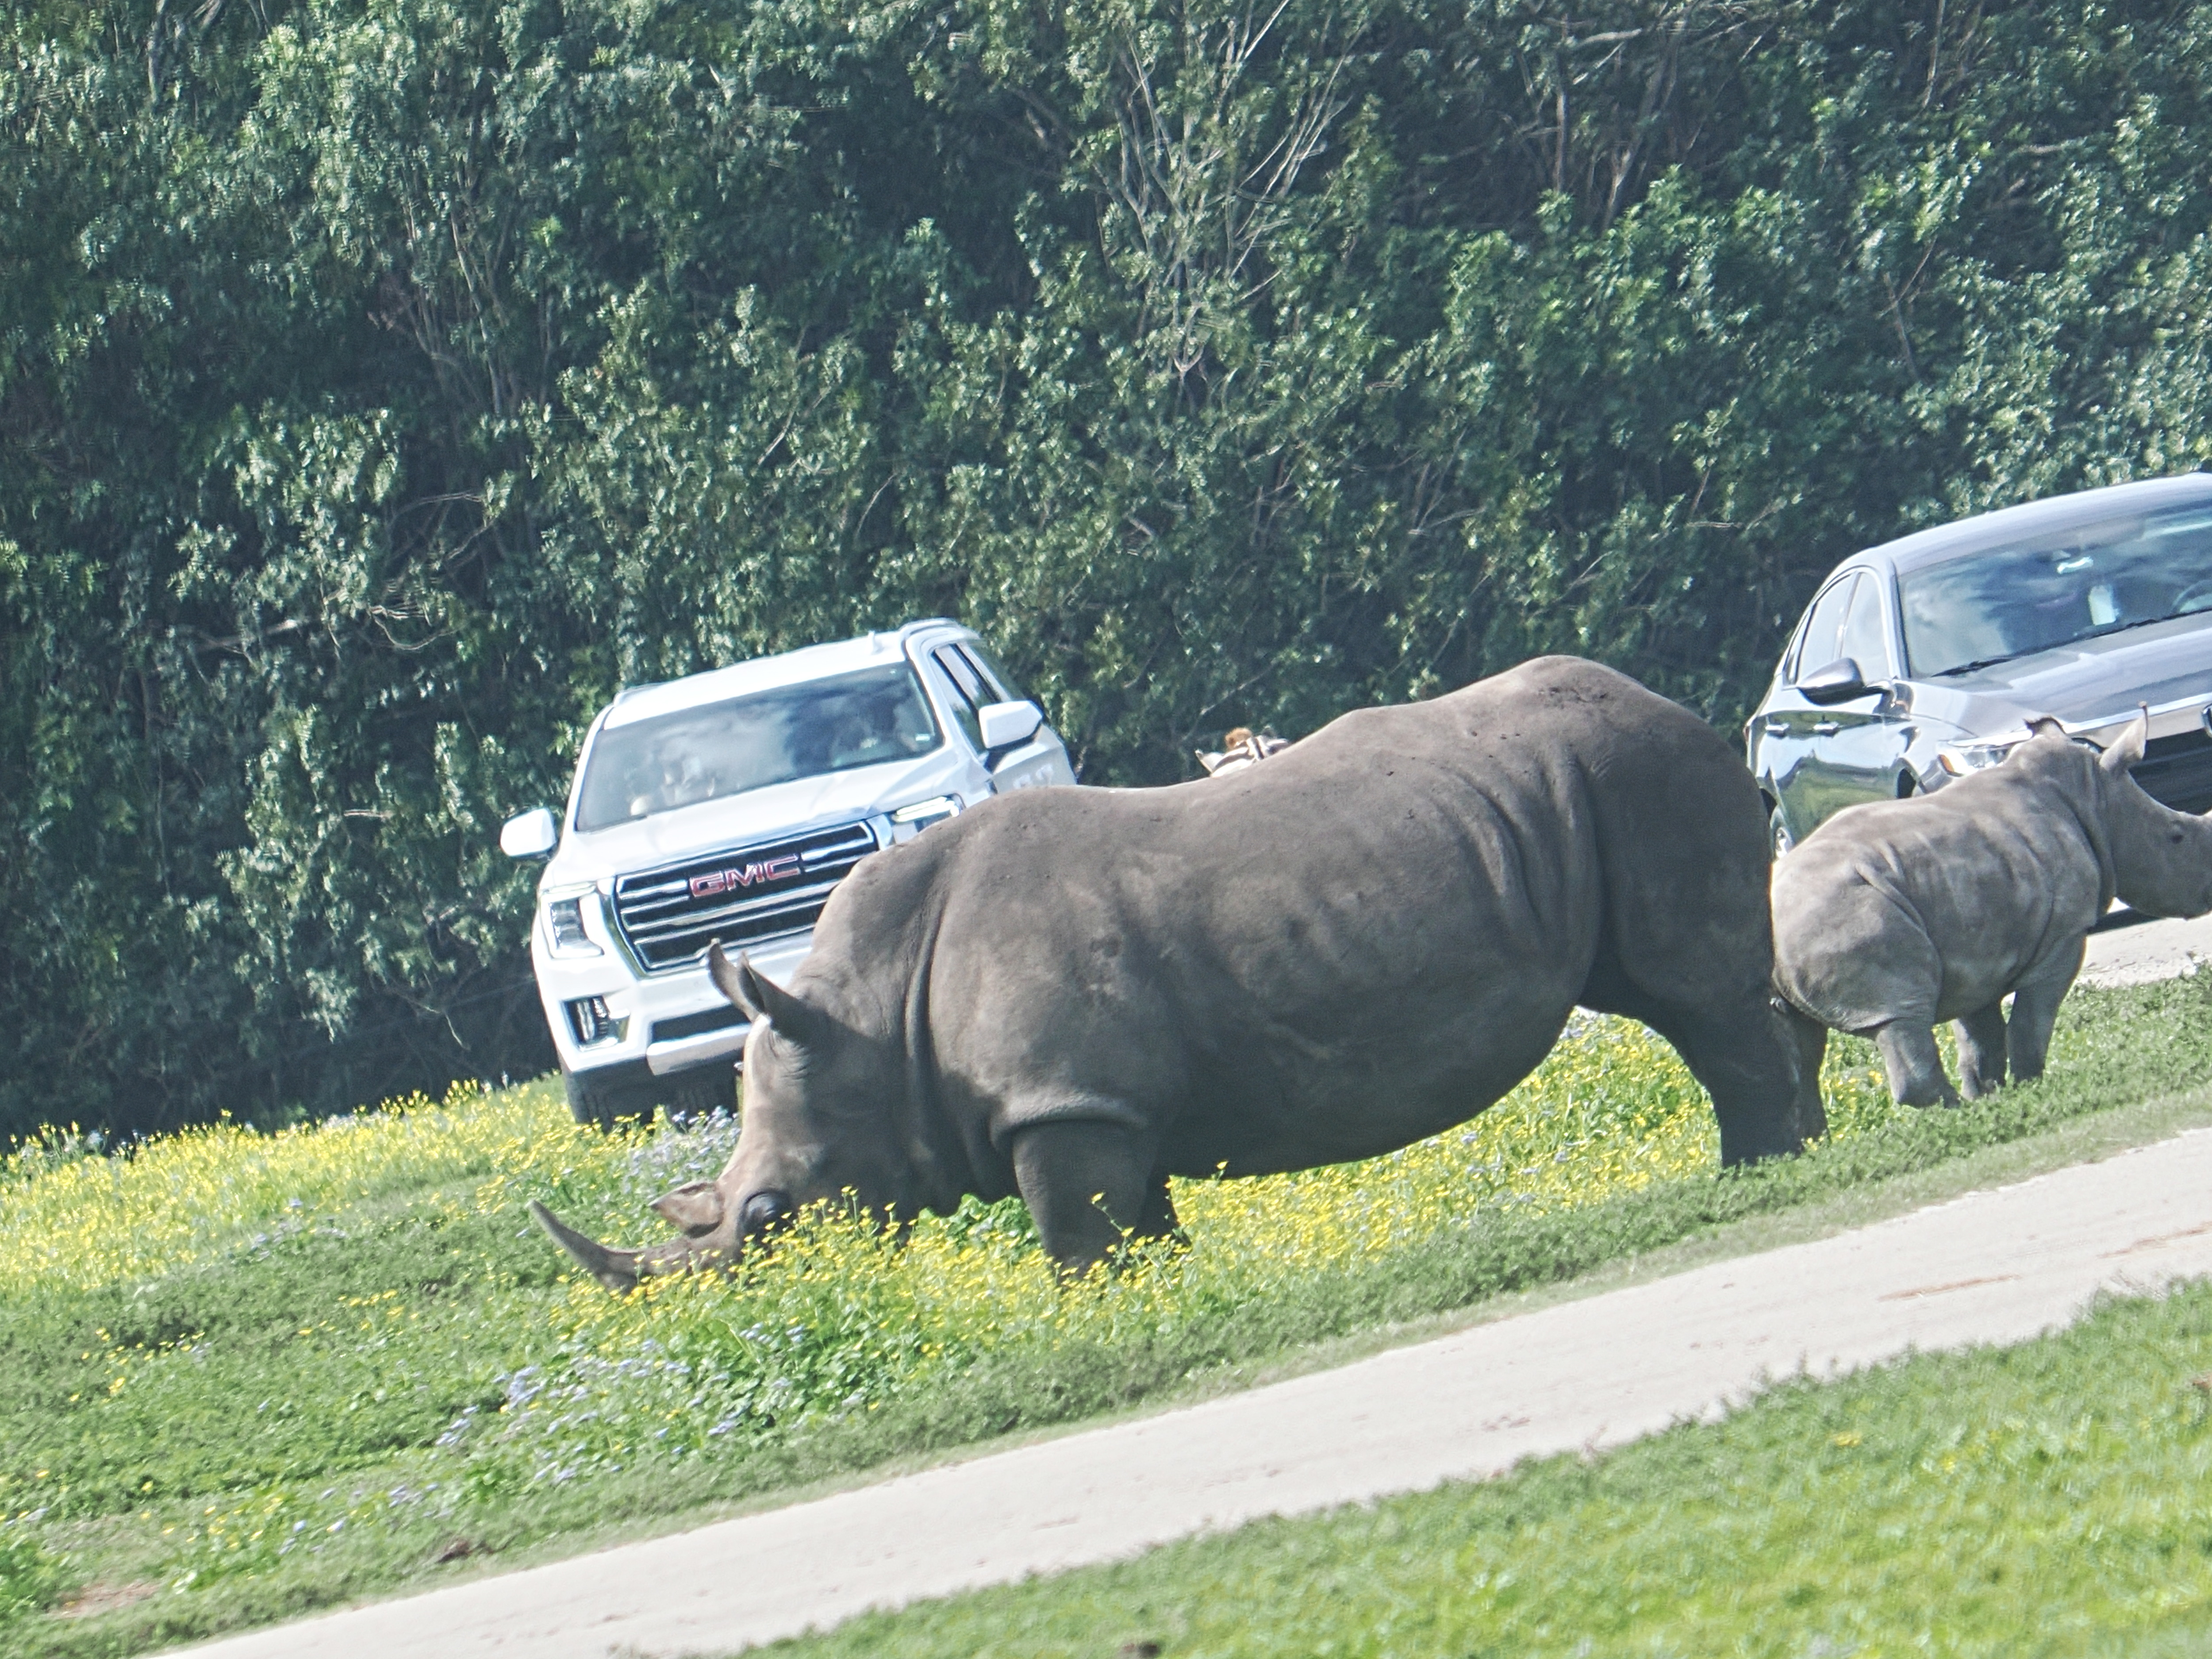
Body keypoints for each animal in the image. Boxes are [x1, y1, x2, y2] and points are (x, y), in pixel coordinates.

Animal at [531, 657, 1808, 1284]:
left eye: (768, 1211)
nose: (765, 1298)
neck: (865, 1016)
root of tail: (1685, 703)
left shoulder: (1063, 1104)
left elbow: (1077, 1245)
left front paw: (1096, 1319)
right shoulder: (1103, 1104)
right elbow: (1141, 1231)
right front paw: (1164, 1305)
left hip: (1635, 770)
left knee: (1695, 1001)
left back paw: (1759, 1171)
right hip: (1581, 785)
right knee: (1681, 997)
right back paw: (1791, 1154)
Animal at [1770, 710, 2212, 1115]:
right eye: (2177, 837)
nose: (2208, 895)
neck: (2098, 801)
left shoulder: (1973, 950)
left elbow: (1980, 1038)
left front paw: (1989, 1097)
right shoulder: (2063, 935)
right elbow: (2030, 1023)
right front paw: (2028, 1089)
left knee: (1801, 1048)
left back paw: (1810, 1143)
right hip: (1847, 913)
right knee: (1897, 1015)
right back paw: (1953, 1114)